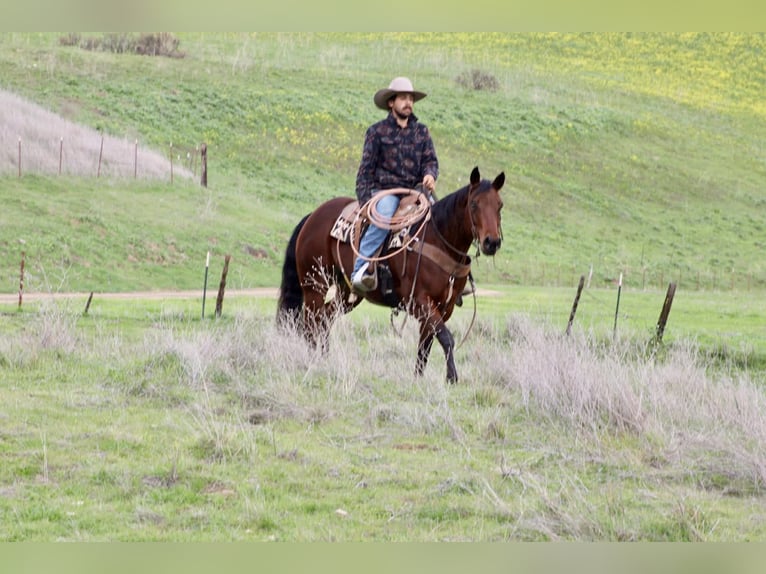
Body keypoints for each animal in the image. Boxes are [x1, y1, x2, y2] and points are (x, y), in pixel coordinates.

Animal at [277, 166, 505, 383]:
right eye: (474, 204)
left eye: (500, 205)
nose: (491, 242)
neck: (437, 239)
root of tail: (312, 216)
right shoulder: (420, 301)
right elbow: (446, 337)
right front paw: (451, 377)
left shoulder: (442, 307)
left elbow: (426, 345)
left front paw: (418, 379)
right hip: (314, 285)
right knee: (310, 322)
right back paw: (313, 360)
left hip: (347, 294)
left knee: (325, 319)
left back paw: (325, 358)